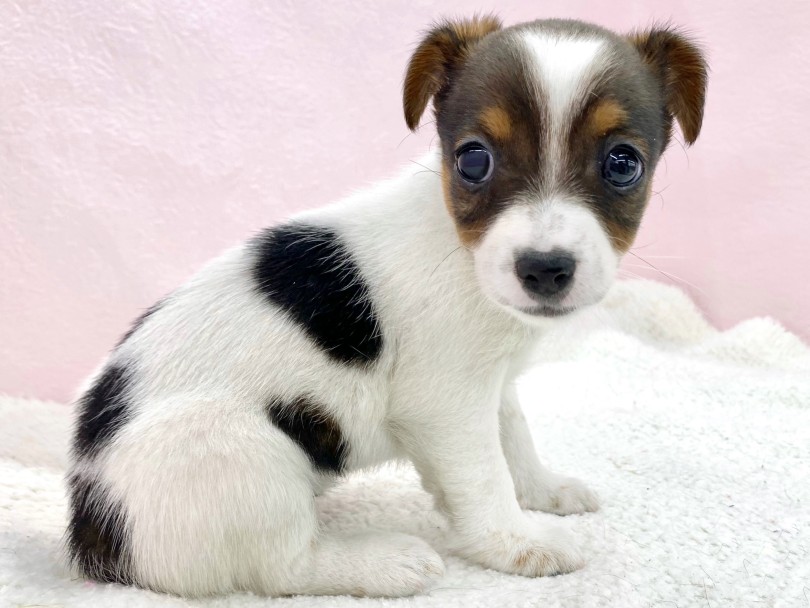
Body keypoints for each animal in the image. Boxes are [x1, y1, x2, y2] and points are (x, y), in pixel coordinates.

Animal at [66, 16, 707, 597]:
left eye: (622, 163)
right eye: (473, 160)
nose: (545, 269)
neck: (459, 246)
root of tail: (93, 534)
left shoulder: (490, 385)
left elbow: (514, 441)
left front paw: (543, 492)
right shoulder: (448, 407)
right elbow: (485, 478)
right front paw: (517, 543)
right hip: (243, 453)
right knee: (283, 568)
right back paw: (385, 563)